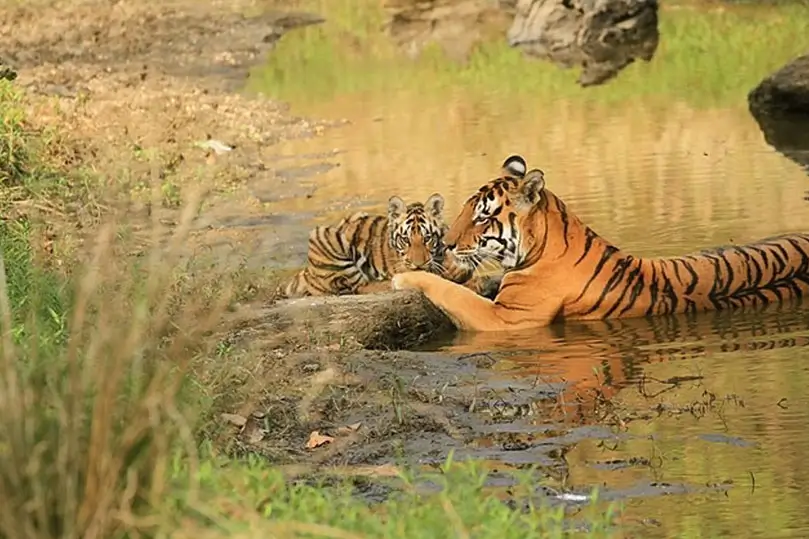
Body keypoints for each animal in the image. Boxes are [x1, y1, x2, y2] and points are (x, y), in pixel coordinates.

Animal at [283, 193, 498, 299]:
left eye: (427, 238)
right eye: (406, 239)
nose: (418, 264)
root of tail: (305, 273)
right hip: (325, 235)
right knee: (360, 286)